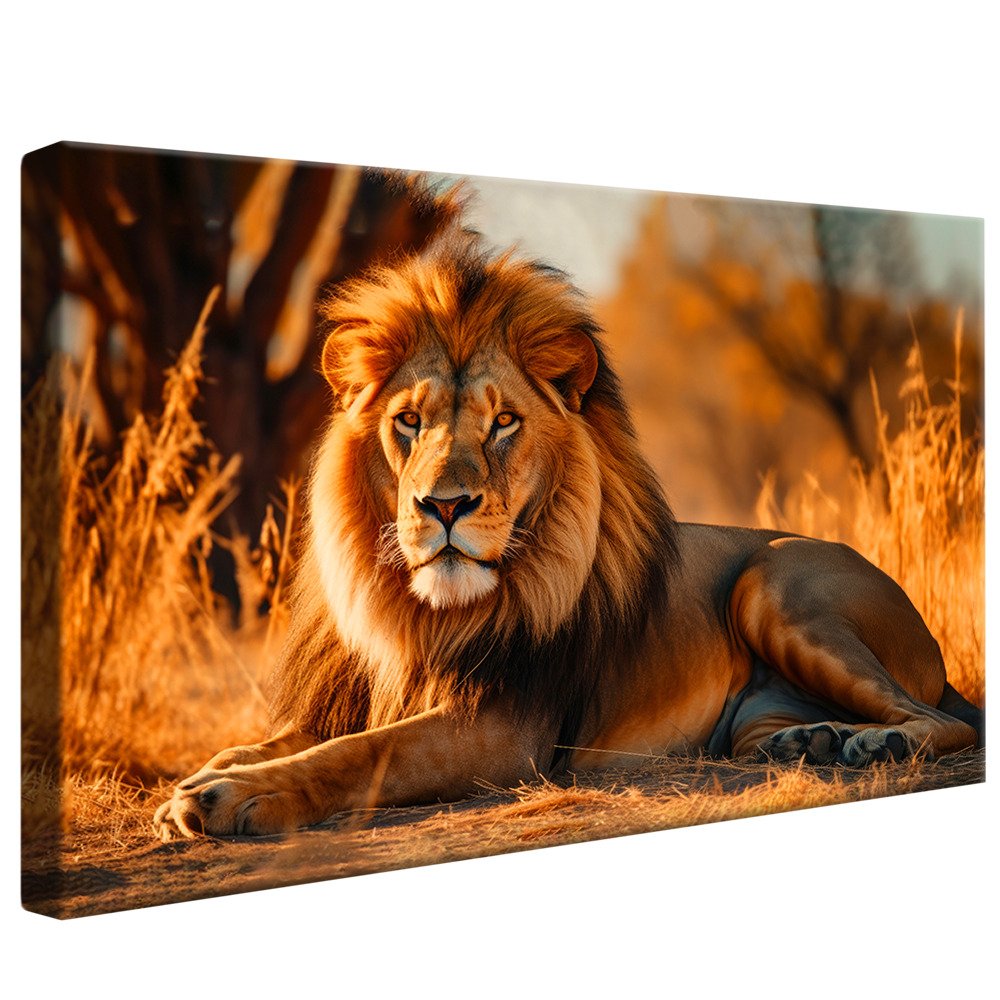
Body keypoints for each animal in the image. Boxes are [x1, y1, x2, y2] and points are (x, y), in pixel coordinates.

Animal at [154, 233, 983, 840]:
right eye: (409, 421)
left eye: (504, 422)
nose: (443, 506)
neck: (420, 614)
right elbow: (289, 737)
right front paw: (201, 778)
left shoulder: (503, 729)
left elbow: (359, 752)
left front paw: (229, 797)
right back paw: (808, 742)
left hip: (774, 582)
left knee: (947, 720)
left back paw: (874, 744)